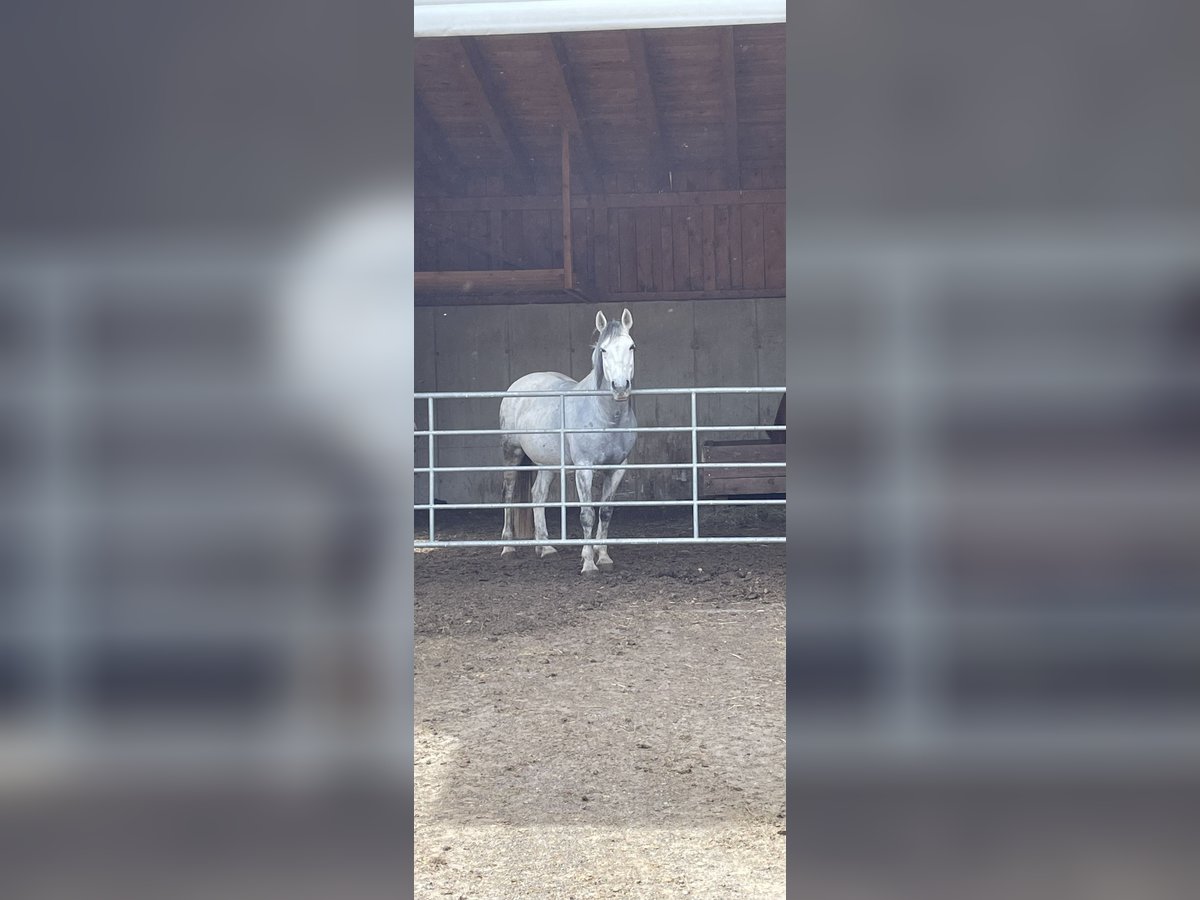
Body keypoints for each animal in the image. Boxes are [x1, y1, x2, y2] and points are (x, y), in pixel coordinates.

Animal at [496, 309, 638, 573]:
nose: (620, 387)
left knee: (538, 494)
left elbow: (605, 512)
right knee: (508, 494)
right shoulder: (584, 468)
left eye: (631, 346)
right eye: (603, 350)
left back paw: (545, 548)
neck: (605, 415)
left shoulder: (617, 468)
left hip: (547, 463)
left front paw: (603, 557)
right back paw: (508, 547)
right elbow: (587, 515)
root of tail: (518, 385)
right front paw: (589, 563)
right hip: (512, 453)